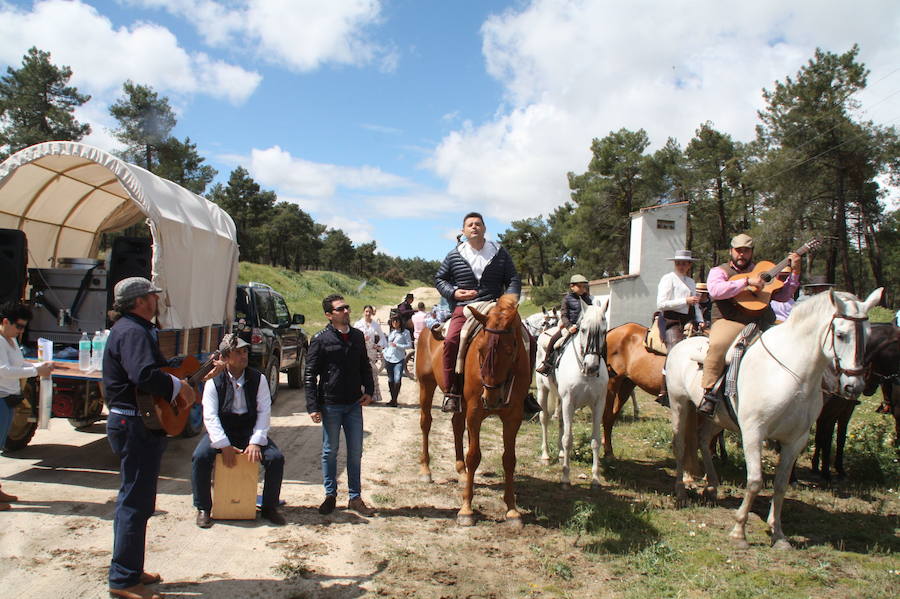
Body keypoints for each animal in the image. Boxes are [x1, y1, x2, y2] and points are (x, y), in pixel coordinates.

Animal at [416, 298, 536, 528]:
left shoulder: (513, 417)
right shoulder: (474, 412)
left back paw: (462, 472)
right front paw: (466, 510)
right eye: (479, 348)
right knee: (426, 423)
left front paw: (512, 510)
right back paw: (426, 470)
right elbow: (474, 456)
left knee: (456, 425)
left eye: (511, 350)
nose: (491, 399)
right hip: (426, 385)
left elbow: (509, 459)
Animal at [536, 298, 612, 486]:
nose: (591, 366)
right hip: (543, 391)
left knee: (561, 422)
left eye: (604, 331)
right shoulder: (569, 402)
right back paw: (546, 455)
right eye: (583, 329)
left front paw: (595, 479)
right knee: (544, 419)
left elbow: (595, 440)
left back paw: (561, 454)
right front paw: (565, 477)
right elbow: (568, 439)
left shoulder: (598, 404)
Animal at [668, 288, 880, 552]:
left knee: (703, 439)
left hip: (716, 417)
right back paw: (681, 492)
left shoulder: (795, 440)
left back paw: (712, 486)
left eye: (868, 335)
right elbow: (755, 481)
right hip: (680, 404)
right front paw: (739, 532)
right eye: (841, 335)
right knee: (681, 446)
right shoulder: (753, 433)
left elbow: (780, 485)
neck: (792, 375)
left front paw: (778, 533)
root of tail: (682, 344)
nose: (854, 386)